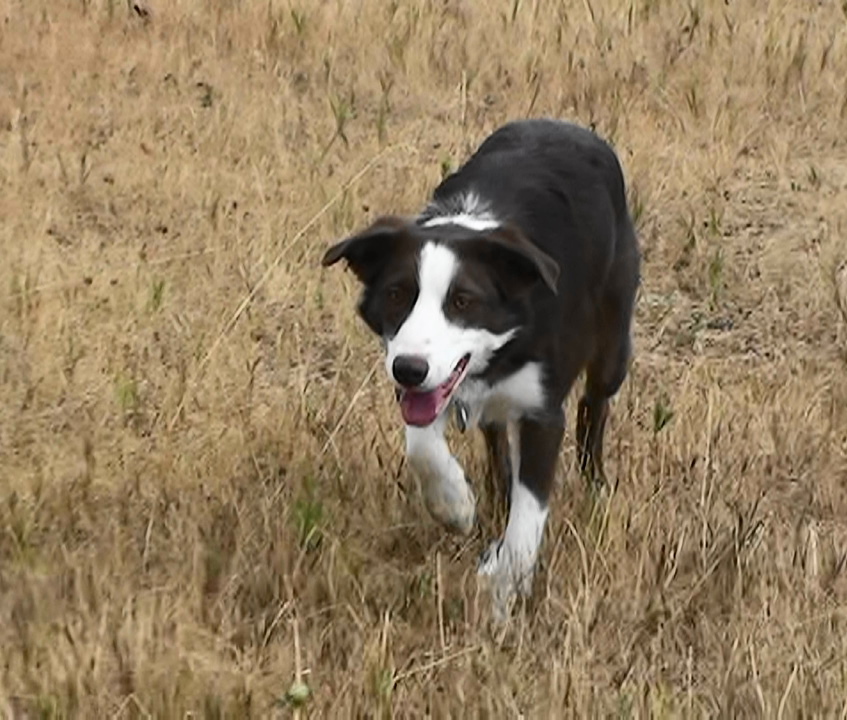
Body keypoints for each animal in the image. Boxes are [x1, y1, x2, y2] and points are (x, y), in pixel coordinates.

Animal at [321, 118, 641, 620]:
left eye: (463, 301)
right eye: (396, 294)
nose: (409, 369)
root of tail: (567, 125)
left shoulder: (542, 411)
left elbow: (529, 512)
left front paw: (501, 589)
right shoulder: (423, 382)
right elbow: (422, 447)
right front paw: (454, 506)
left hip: (612, 340)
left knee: (595, 405)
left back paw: (594, 485)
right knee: (493, 433)